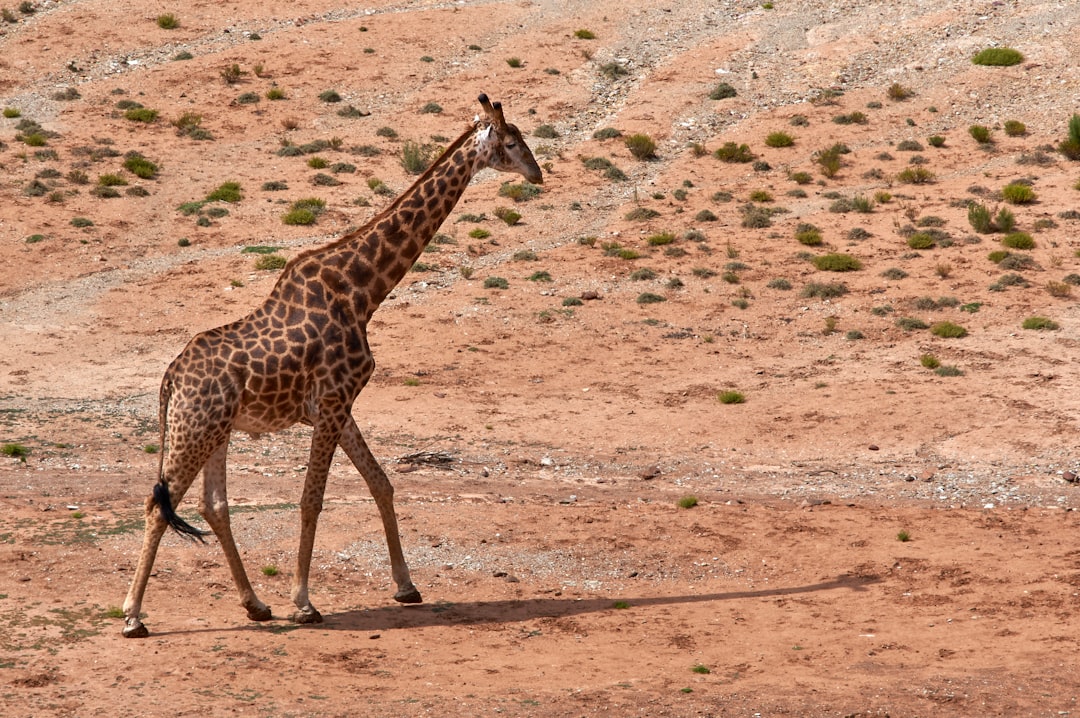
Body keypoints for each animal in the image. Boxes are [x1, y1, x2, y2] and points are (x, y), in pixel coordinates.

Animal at [122, 95, 544, 639]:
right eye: (511, 142)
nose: (537, 174)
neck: (363, 291)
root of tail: (169, 380)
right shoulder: (332, 401)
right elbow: (311, 499)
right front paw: (304, 603)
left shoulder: (338, 405)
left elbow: (380, 482)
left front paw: (406, 586)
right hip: (194, 430)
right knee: (159, 505)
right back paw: (133, 616)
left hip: (215, 431)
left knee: (212, 506)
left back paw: (255, 605)